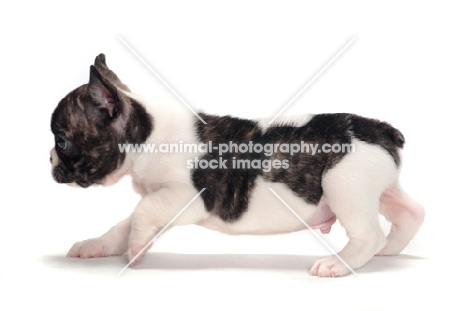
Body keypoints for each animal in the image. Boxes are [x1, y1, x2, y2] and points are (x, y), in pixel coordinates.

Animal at [50, 53, 424, 278]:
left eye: (62, 141)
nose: (49, 159)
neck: (147, 133)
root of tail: (381, 130)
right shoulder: (165, 201)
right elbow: (124, 224)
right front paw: (99, 245)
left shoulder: (185, 198)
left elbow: (141, 212)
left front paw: (137, 250)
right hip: (381, 188)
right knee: (411, 212)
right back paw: (391, 249)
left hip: (344, 185)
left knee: (369, 234)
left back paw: (338, 263)